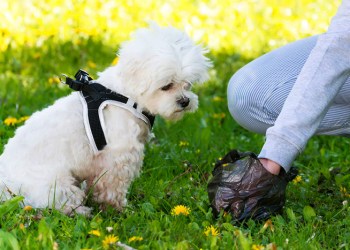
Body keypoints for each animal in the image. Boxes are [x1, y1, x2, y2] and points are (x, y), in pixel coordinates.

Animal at [0, 23, 211, 215]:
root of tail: (6, 183)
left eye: (187, 84)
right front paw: (117, 209)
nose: (185, 101)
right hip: (56, 185)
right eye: (166, 86)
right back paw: (81, 211)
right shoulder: (118, 156)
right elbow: (112, 188)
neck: (127, 95)